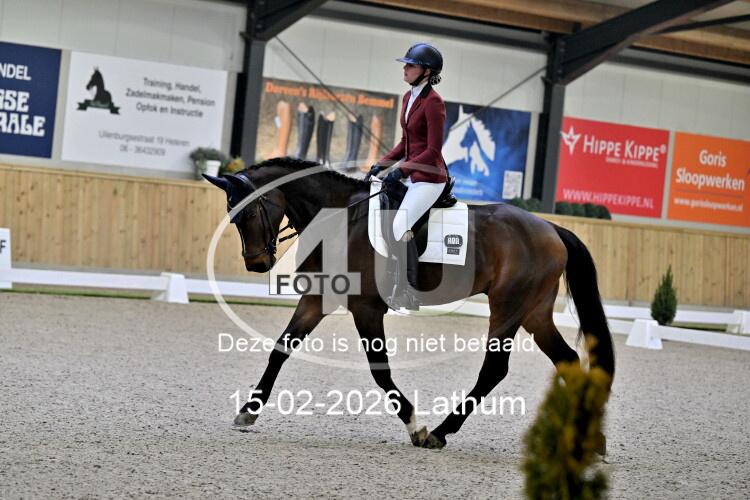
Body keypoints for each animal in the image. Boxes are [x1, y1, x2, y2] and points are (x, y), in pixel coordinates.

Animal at [204, 157, 615, 449]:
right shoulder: (318, 297)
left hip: (508, 308)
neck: (340, 218)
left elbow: (380, 370)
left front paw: (415, 426)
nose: (257, 264)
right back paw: (584, 438)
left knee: (494, 370)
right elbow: (281, 349)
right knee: (568, 360)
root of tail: (552, 229)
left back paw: (440, 432)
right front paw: (248, 412)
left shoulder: (366, 307)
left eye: (249, 211)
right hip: (534, 312)